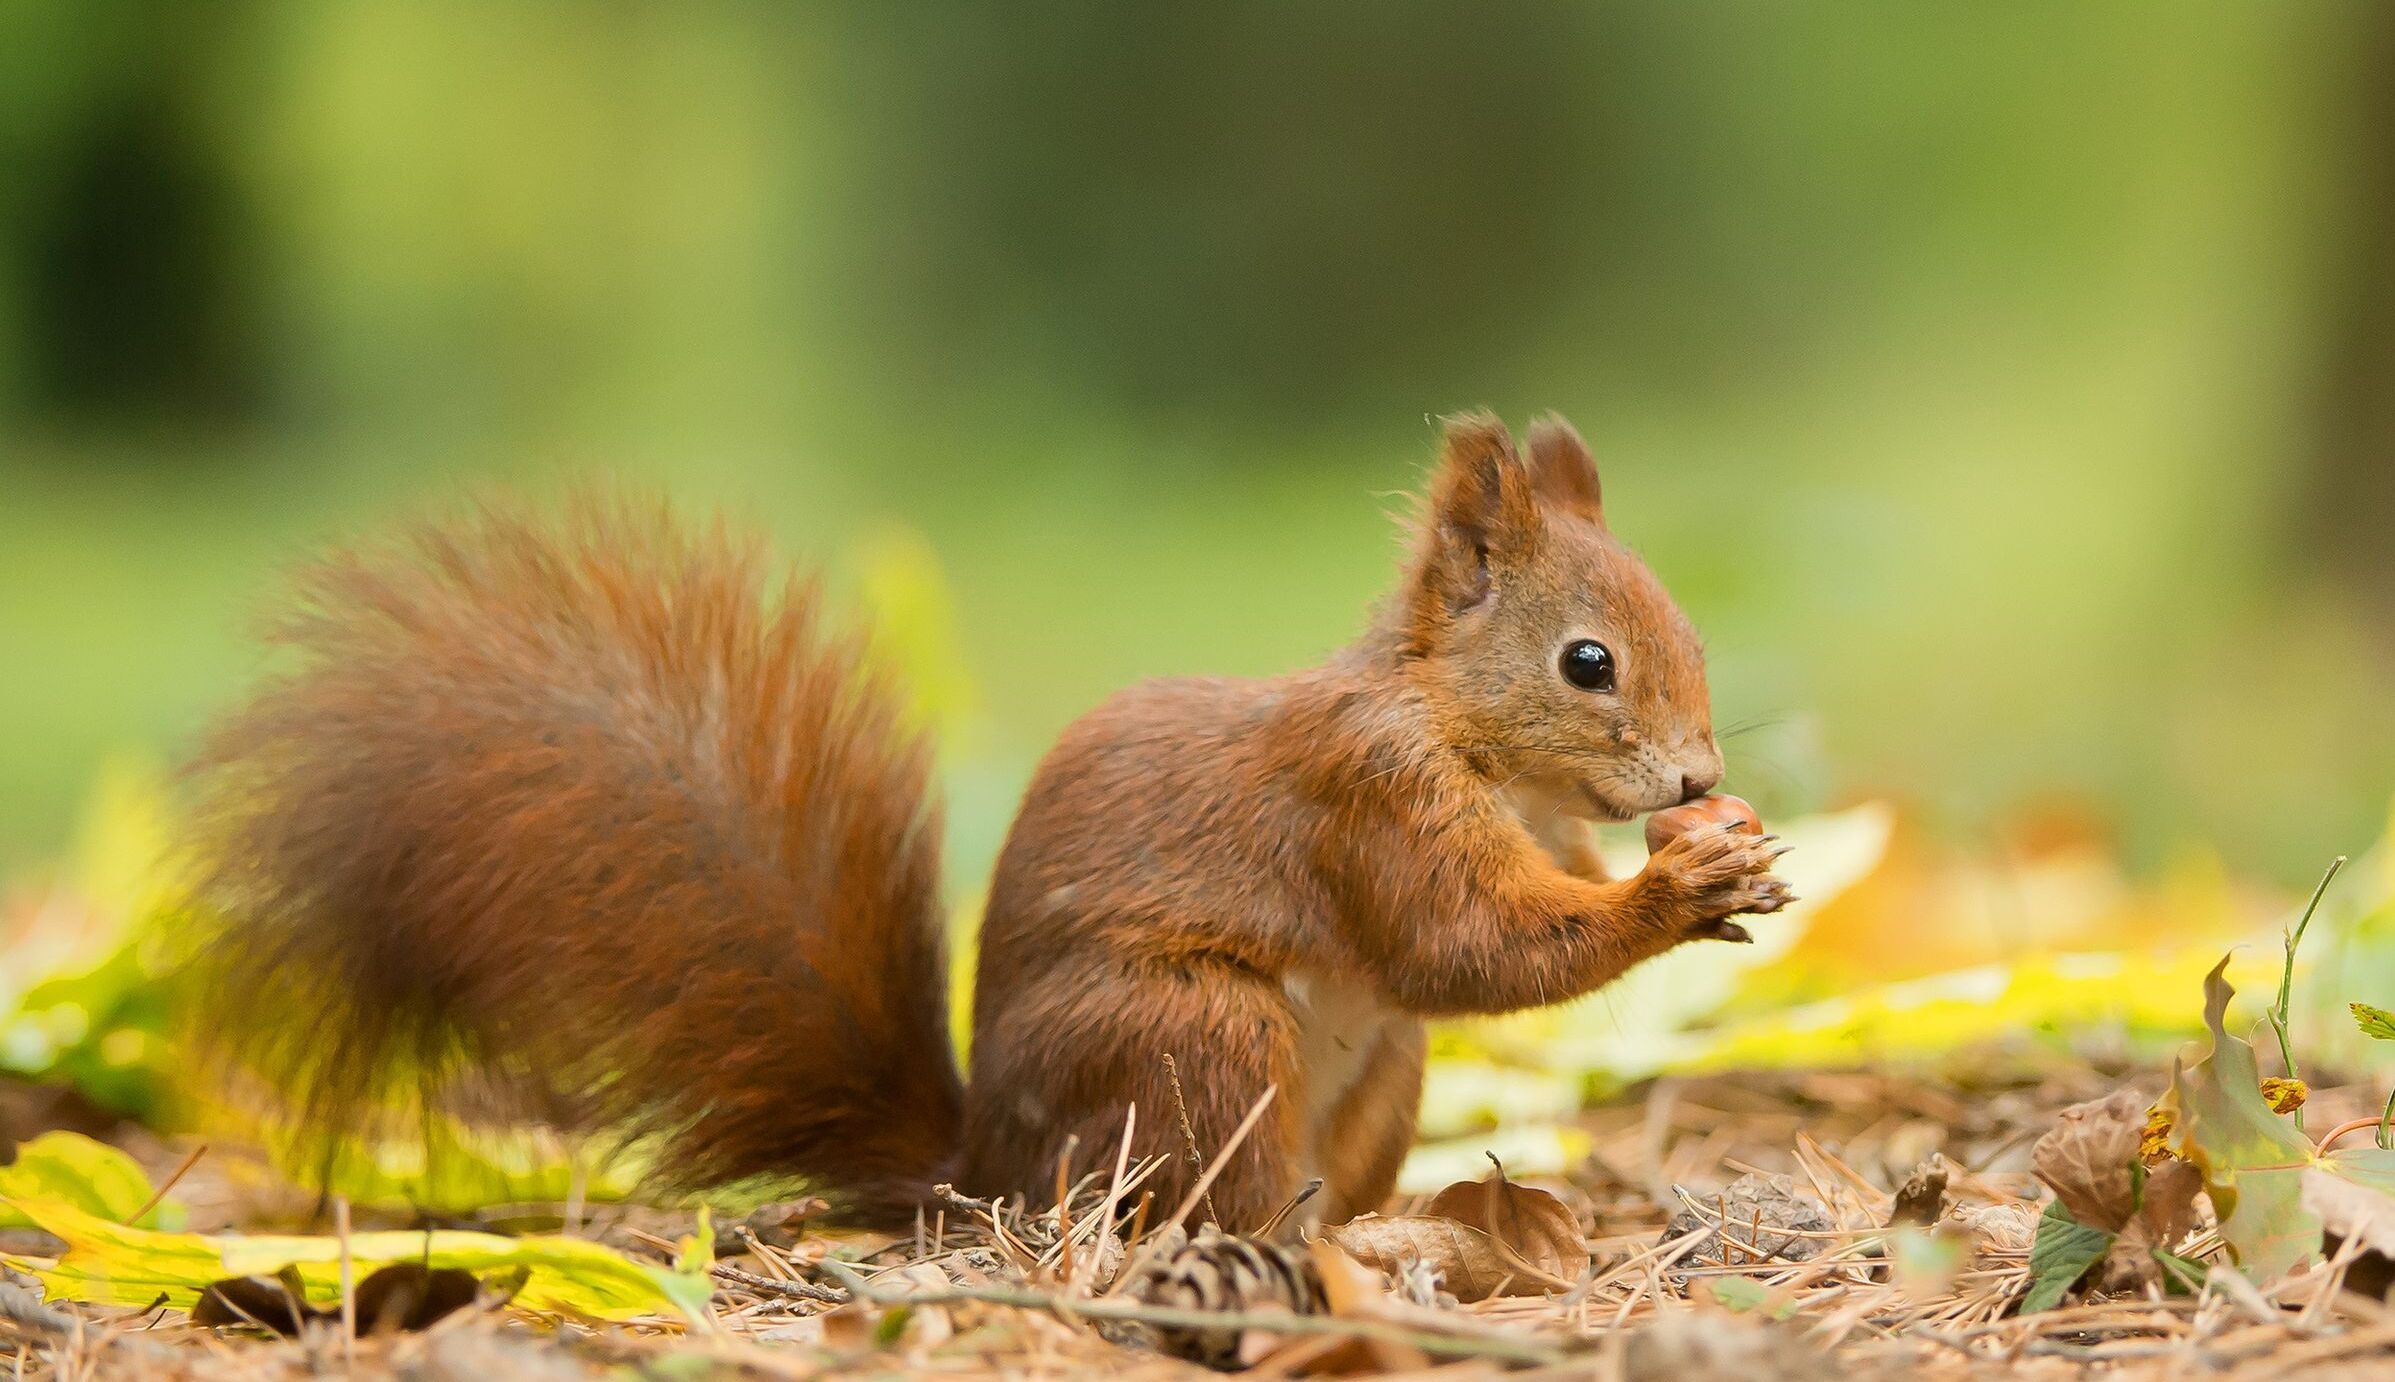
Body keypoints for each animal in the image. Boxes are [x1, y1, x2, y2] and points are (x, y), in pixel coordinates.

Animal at [185, 411, 1790, 1233]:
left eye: (1693, 633)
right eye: (1586, 661)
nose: (1694, 778)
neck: (1459, 727)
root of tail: (981, 1170)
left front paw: (1712, 855)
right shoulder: (1366, 798)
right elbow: (1467, 943)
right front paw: (1678, 890)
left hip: (1370, 1076)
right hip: (1189, 1036)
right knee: (1200, 1200)